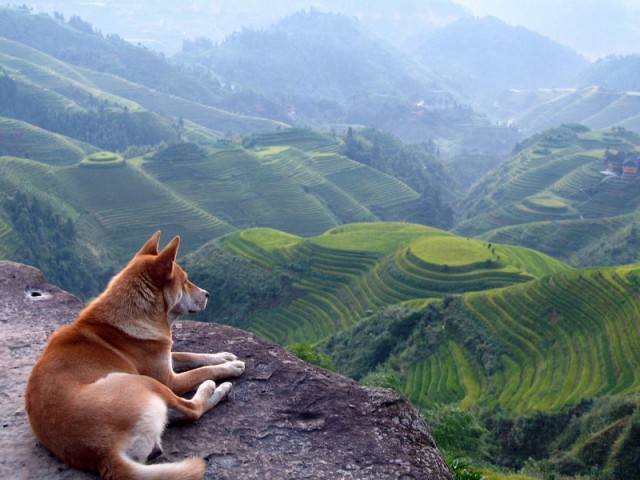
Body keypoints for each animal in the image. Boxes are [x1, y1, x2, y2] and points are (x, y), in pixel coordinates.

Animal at [25, 231, 245, 478]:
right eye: (186, 281)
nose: (208, 294)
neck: (134, 313)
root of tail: (103, 453)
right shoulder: (169, 379)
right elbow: (202, 370)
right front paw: (229, 367)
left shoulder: (164, 355)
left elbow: (192, 355)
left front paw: (223, 356)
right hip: (144, 382)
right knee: (192, 409)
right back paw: (216, 388)